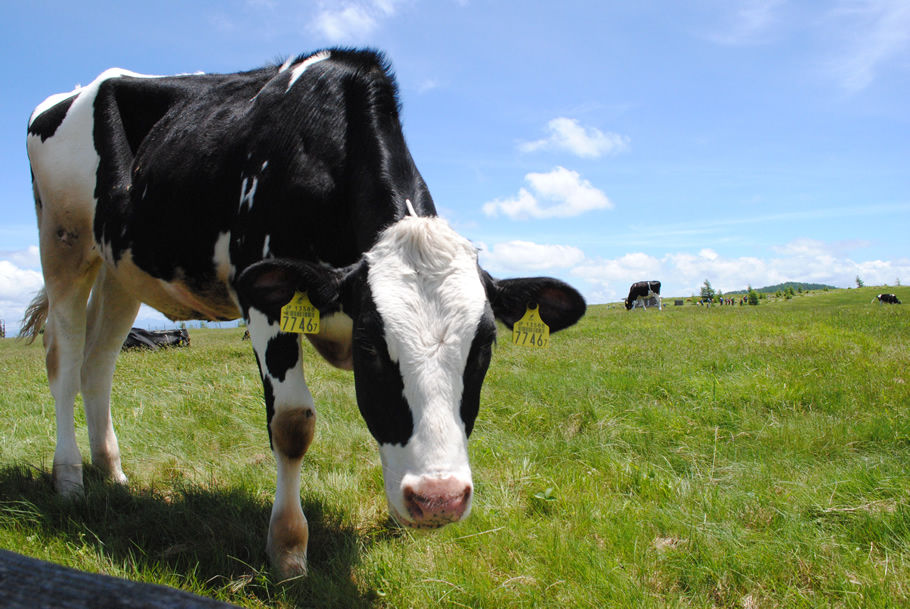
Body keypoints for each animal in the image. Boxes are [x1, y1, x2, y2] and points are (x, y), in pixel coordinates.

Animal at [25, 48, 588, 576]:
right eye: (371, 348)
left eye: (484, 346)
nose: (439, 500)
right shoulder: (264, 302)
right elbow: (293, 424)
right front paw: (289, 549)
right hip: (64, 243)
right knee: (64, 358)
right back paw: (70, 477)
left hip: (122, 269)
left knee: (99, 364)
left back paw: (112, 472)